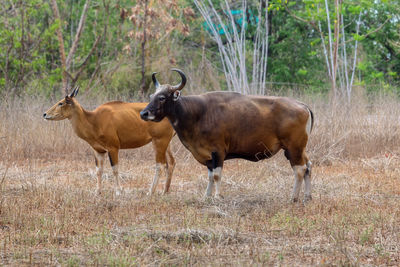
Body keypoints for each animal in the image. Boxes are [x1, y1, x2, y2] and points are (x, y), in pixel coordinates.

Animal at [43, 88, 175, 197]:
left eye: (61, 102)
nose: (45, 114)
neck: (94, 120)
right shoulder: (98, 151)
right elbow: (99, 171)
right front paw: (97, 192)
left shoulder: (113, 148)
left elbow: (115, 169)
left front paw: (118, 191)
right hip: (165, 143)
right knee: (171, 163)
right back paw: (165, 191)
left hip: (159, 141)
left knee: (160, 165)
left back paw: (150, 191)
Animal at [142, 69, 314, 203]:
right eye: (151, 96)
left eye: (162, 97)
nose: (144, 113)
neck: (197, 114)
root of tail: (302, 105)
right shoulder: (208, 155)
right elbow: (210, 176)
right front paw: (207, 196)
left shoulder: (218, 152)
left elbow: (217, 176)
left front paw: (218, 197)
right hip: (299, 149)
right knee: (308, 166)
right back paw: (307, 197)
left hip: (293, 147)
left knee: (300, 170)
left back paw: (293, 198)